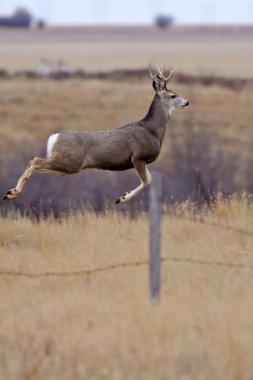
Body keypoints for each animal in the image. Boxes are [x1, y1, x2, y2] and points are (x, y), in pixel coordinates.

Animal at [2, 67, 189, 206]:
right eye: (173, 95)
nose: (187, 102)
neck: (153, 131)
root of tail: (55, 136)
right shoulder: (138, 157)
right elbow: (147, 181)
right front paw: (121, 198)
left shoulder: (141, 160)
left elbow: (148, 180)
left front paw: (123, 195)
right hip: (70, 161)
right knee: (34, 161)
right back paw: (12, 193)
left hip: (66, 165)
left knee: (35, 163)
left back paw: (11, 192)